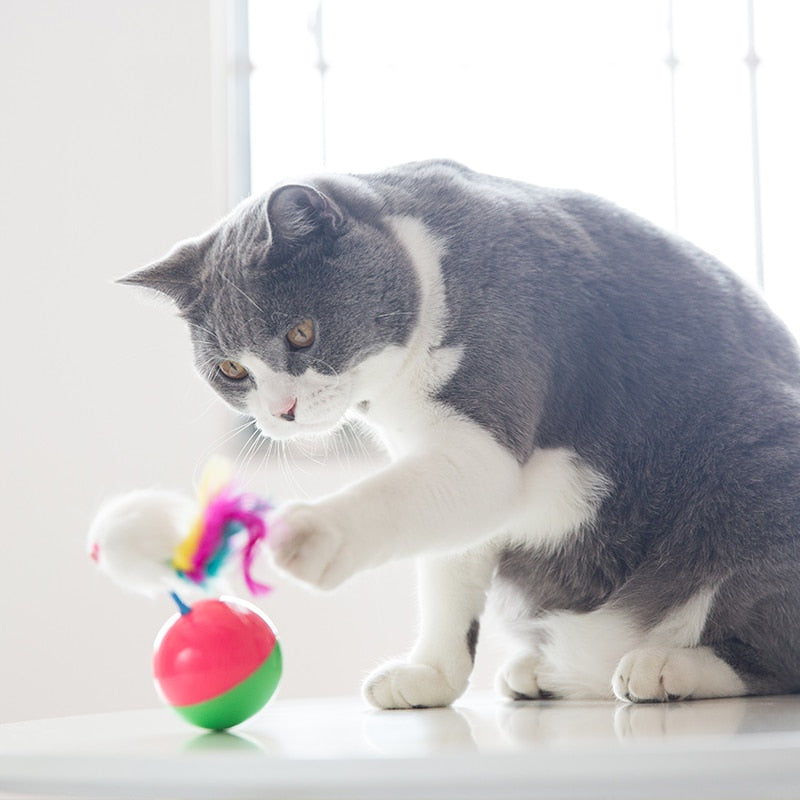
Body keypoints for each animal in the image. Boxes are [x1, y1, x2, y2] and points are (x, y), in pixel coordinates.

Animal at [120, 159, 800, 708]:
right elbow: (447, 574)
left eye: (301, 334)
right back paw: (545, 673)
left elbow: (397, 501)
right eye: (231, 370)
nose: (281, 409)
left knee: (772, 653)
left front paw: (309, 534)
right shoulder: (431, 459)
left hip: (756, 464)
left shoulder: (485, 417)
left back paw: (665, 667)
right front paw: (430, 678)